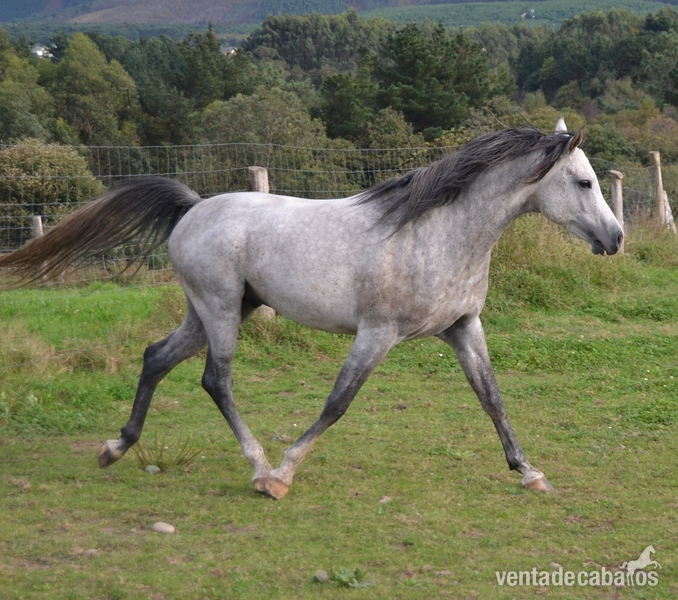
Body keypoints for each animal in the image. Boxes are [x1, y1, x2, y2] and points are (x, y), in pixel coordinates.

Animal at [0, 119, 623, 499]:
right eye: (583, 182)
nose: (616, 238)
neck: (438, 233)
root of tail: (194, 207)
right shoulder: (377, 333)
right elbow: (337, 403)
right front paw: (283, 473)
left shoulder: (463, 328)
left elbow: (492, 399)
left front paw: (530, 473)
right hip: (220, 310)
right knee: (215, 380)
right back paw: (256, 466)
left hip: (214, 311)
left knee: (156, 357)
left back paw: (115, 448)